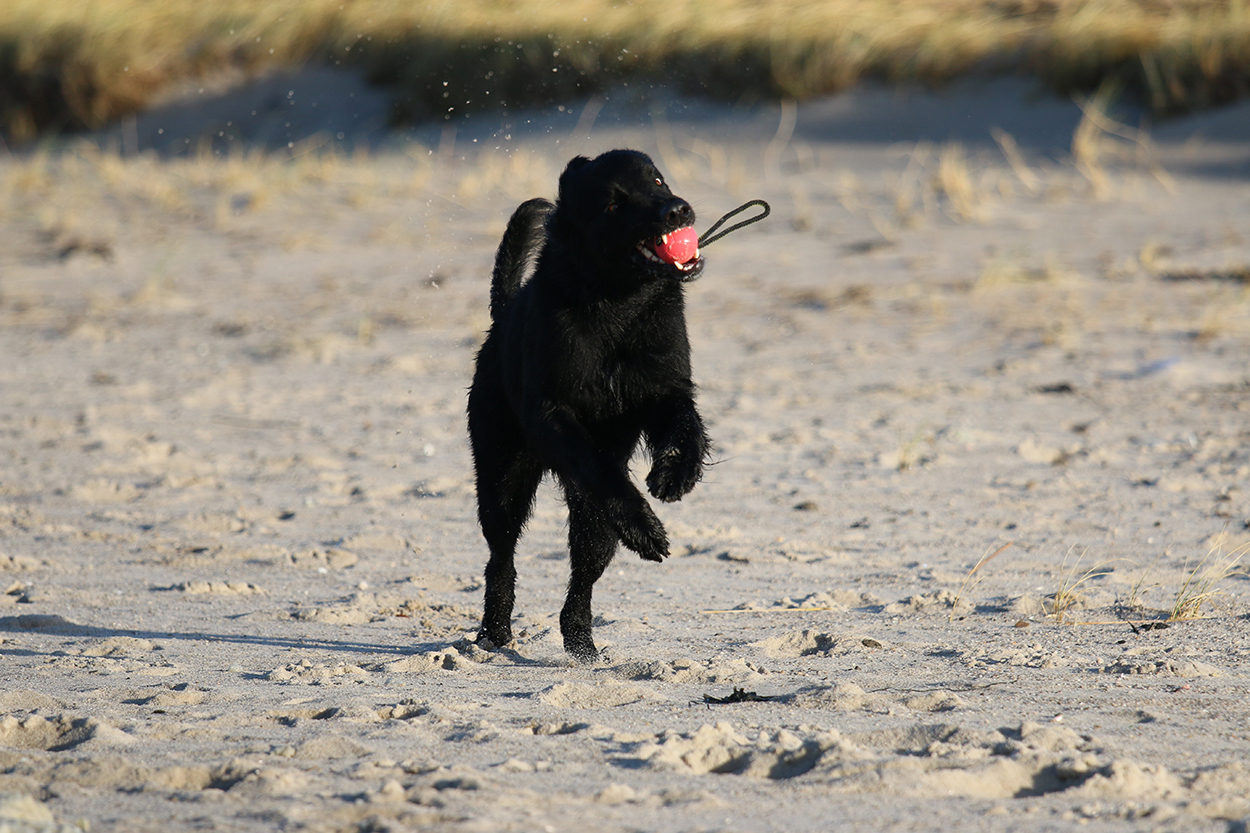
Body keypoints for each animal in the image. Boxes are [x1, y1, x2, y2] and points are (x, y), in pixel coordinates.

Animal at [467, 149, 710, 662]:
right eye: (615, 204)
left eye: (657, 181)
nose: (677, 210)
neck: (618, 306)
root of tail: (501, 318)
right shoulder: (553, 416)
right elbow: (600, 470)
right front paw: (645, 526)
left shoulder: (665, 390)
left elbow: (686, 426)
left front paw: (675, 473)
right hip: (503, 481)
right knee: (501, 558)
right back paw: (494, 634)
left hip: (590, 524)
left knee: (583, 576)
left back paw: (582, 642)